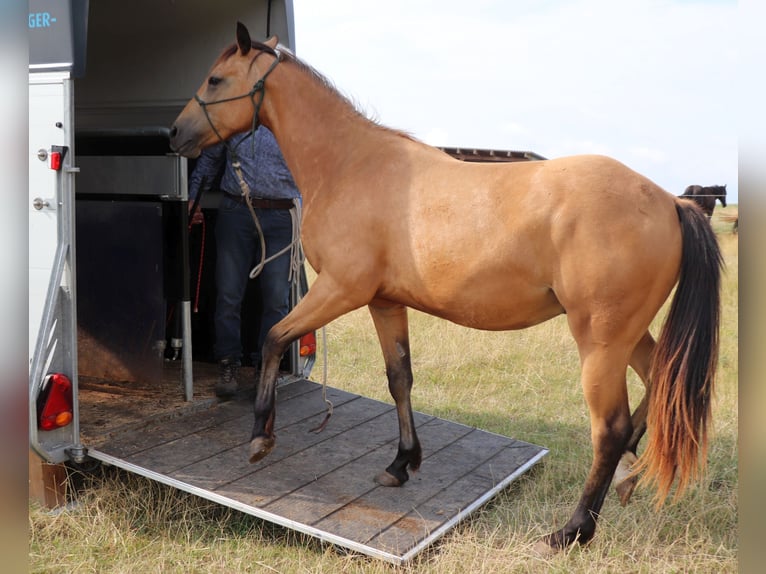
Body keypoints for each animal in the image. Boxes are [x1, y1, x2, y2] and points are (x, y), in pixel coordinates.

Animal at [169, 23, 723, 553]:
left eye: (215, 80)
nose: (174, 133)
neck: (351, 163)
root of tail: (671, 202)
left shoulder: (340, 291)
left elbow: (272, 338)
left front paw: (261, 437)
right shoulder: (383, 303)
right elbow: (400, 379)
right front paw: (401, 464)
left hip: (600, 343)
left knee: (610, 429)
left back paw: (571, 531)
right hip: (628, 336)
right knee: (658, 386)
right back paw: (629, 480)